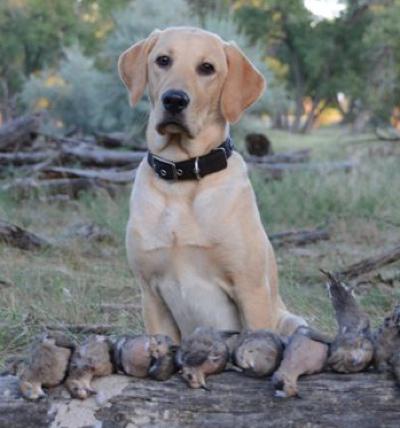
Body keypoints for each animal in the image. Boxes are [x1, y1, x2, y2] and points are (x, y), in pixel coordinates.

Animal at [119, 26, 306, 342]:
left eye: (207, 68)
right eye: (163, 60)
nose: (174, 100)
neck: (182, 178)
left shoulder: (250, 289)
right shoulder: (151, 295)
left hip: (293, 320)